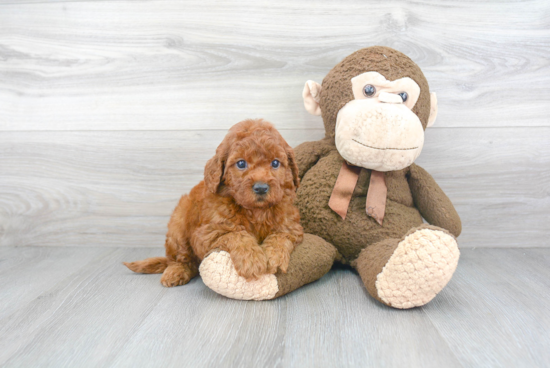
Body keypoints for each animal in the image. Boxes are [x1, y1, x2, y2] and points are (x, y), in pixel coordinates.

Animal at [124, 119, 304, 286]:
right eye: (241, 163)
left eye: (275, 163)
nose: (261, 188)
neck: (256, 211)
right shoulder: (207, 233)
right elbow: (235, 234)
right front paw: (251, 260)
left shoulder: (291, 226)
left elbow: (280, 236)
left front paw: (274, 256)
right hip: (178, 225)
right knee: (181, 258)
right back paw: (175, 272)